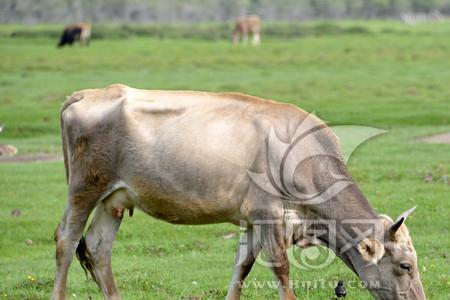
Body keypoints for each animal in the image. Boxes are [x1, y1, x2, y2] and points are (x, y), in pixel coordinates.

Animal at [52, 84, 426, 300]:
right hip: (85, 188)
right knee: (66, 241)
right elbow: (281, 269)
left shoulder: (252, 220)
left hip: (114, 199)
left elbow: (242, 267)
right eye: (405, 265)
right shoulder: (269, 214)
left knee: (98, 247)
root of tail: (84, 94)